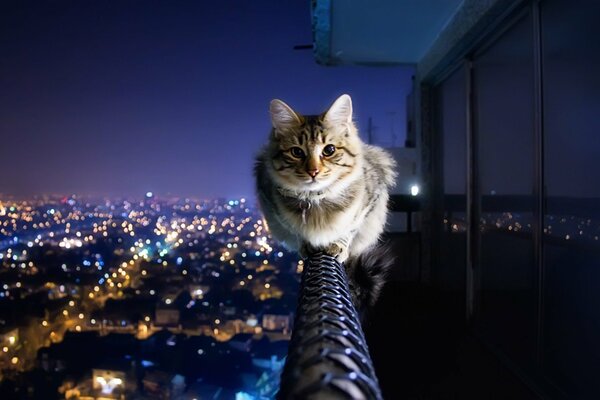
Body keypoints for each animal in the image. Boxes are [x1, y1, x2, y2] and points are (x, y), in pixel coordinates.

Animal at [255, 93, 396, 312]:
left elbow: (350, 228)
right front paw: (307, 244)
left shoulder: (370, 202)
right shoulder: (273, 207)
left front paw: (338, 245)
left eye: (329, 150)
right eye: (296, 152)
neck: (316, 198)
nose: (313, 171)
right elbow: (298, 231)